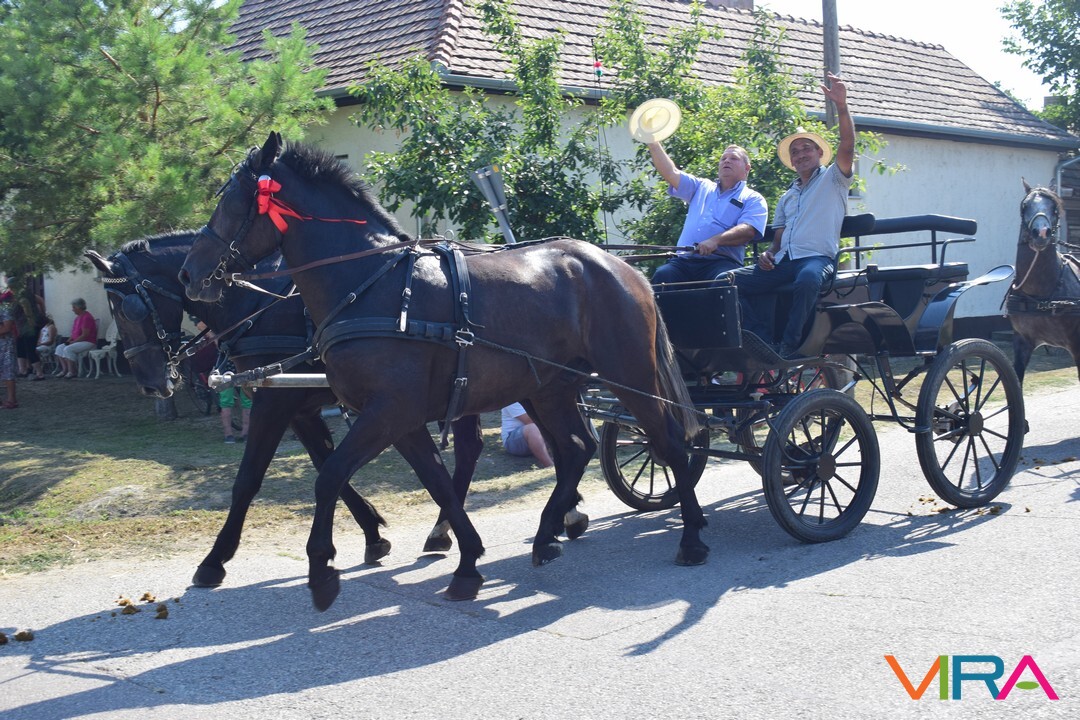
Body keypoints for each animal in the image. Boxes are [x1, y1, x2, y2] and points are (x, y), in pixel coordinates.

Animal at [85, 232, 486, 588]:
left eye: (126, 309)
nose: (151, 384)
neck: (255, 309)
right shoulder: (298, 409)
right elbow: (328, 467)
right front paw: (373, 534)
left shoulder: (273, 402)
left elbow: (248, 479)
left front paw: (214, 560)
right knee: (469, 449)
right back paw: (442, 531)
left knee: (466, 450)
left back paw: (443, 531)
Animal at [178, 132, 706, 611]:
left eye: (230, 202)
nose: (189, 273)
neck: (371, 285)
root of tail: (623, 267)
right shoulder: (395, 418)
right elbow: (436, 481)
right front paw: (465, 561)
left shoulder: (377, 411)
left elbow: (324, 477)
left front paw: (320, 570)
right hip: (549, 388)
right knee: (577, 449)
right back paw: (548, 534)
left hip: (630, 375)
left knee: (668, 442)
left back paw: (691, 537)